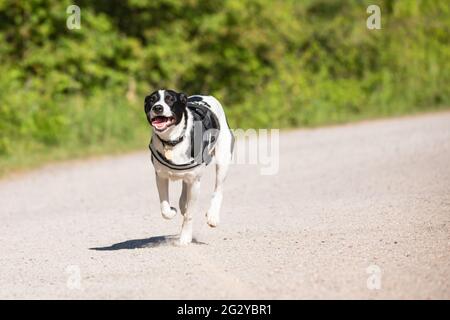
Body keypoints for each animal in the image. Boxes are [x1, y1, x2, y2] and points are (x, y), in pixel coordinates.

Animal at [144, 89, 236, 245]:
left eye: (170, 99)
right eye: (152, 100)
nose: (157, 108)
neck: (172, 141)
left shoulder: (195, 182)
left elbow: (189, 215)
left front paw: (185, 238)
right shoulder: (161, 176)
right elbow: (164, 208)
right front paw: (171, 211)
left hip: (223, 159)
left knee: (218, 189)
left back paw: (213, 216)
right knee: (184, 192)